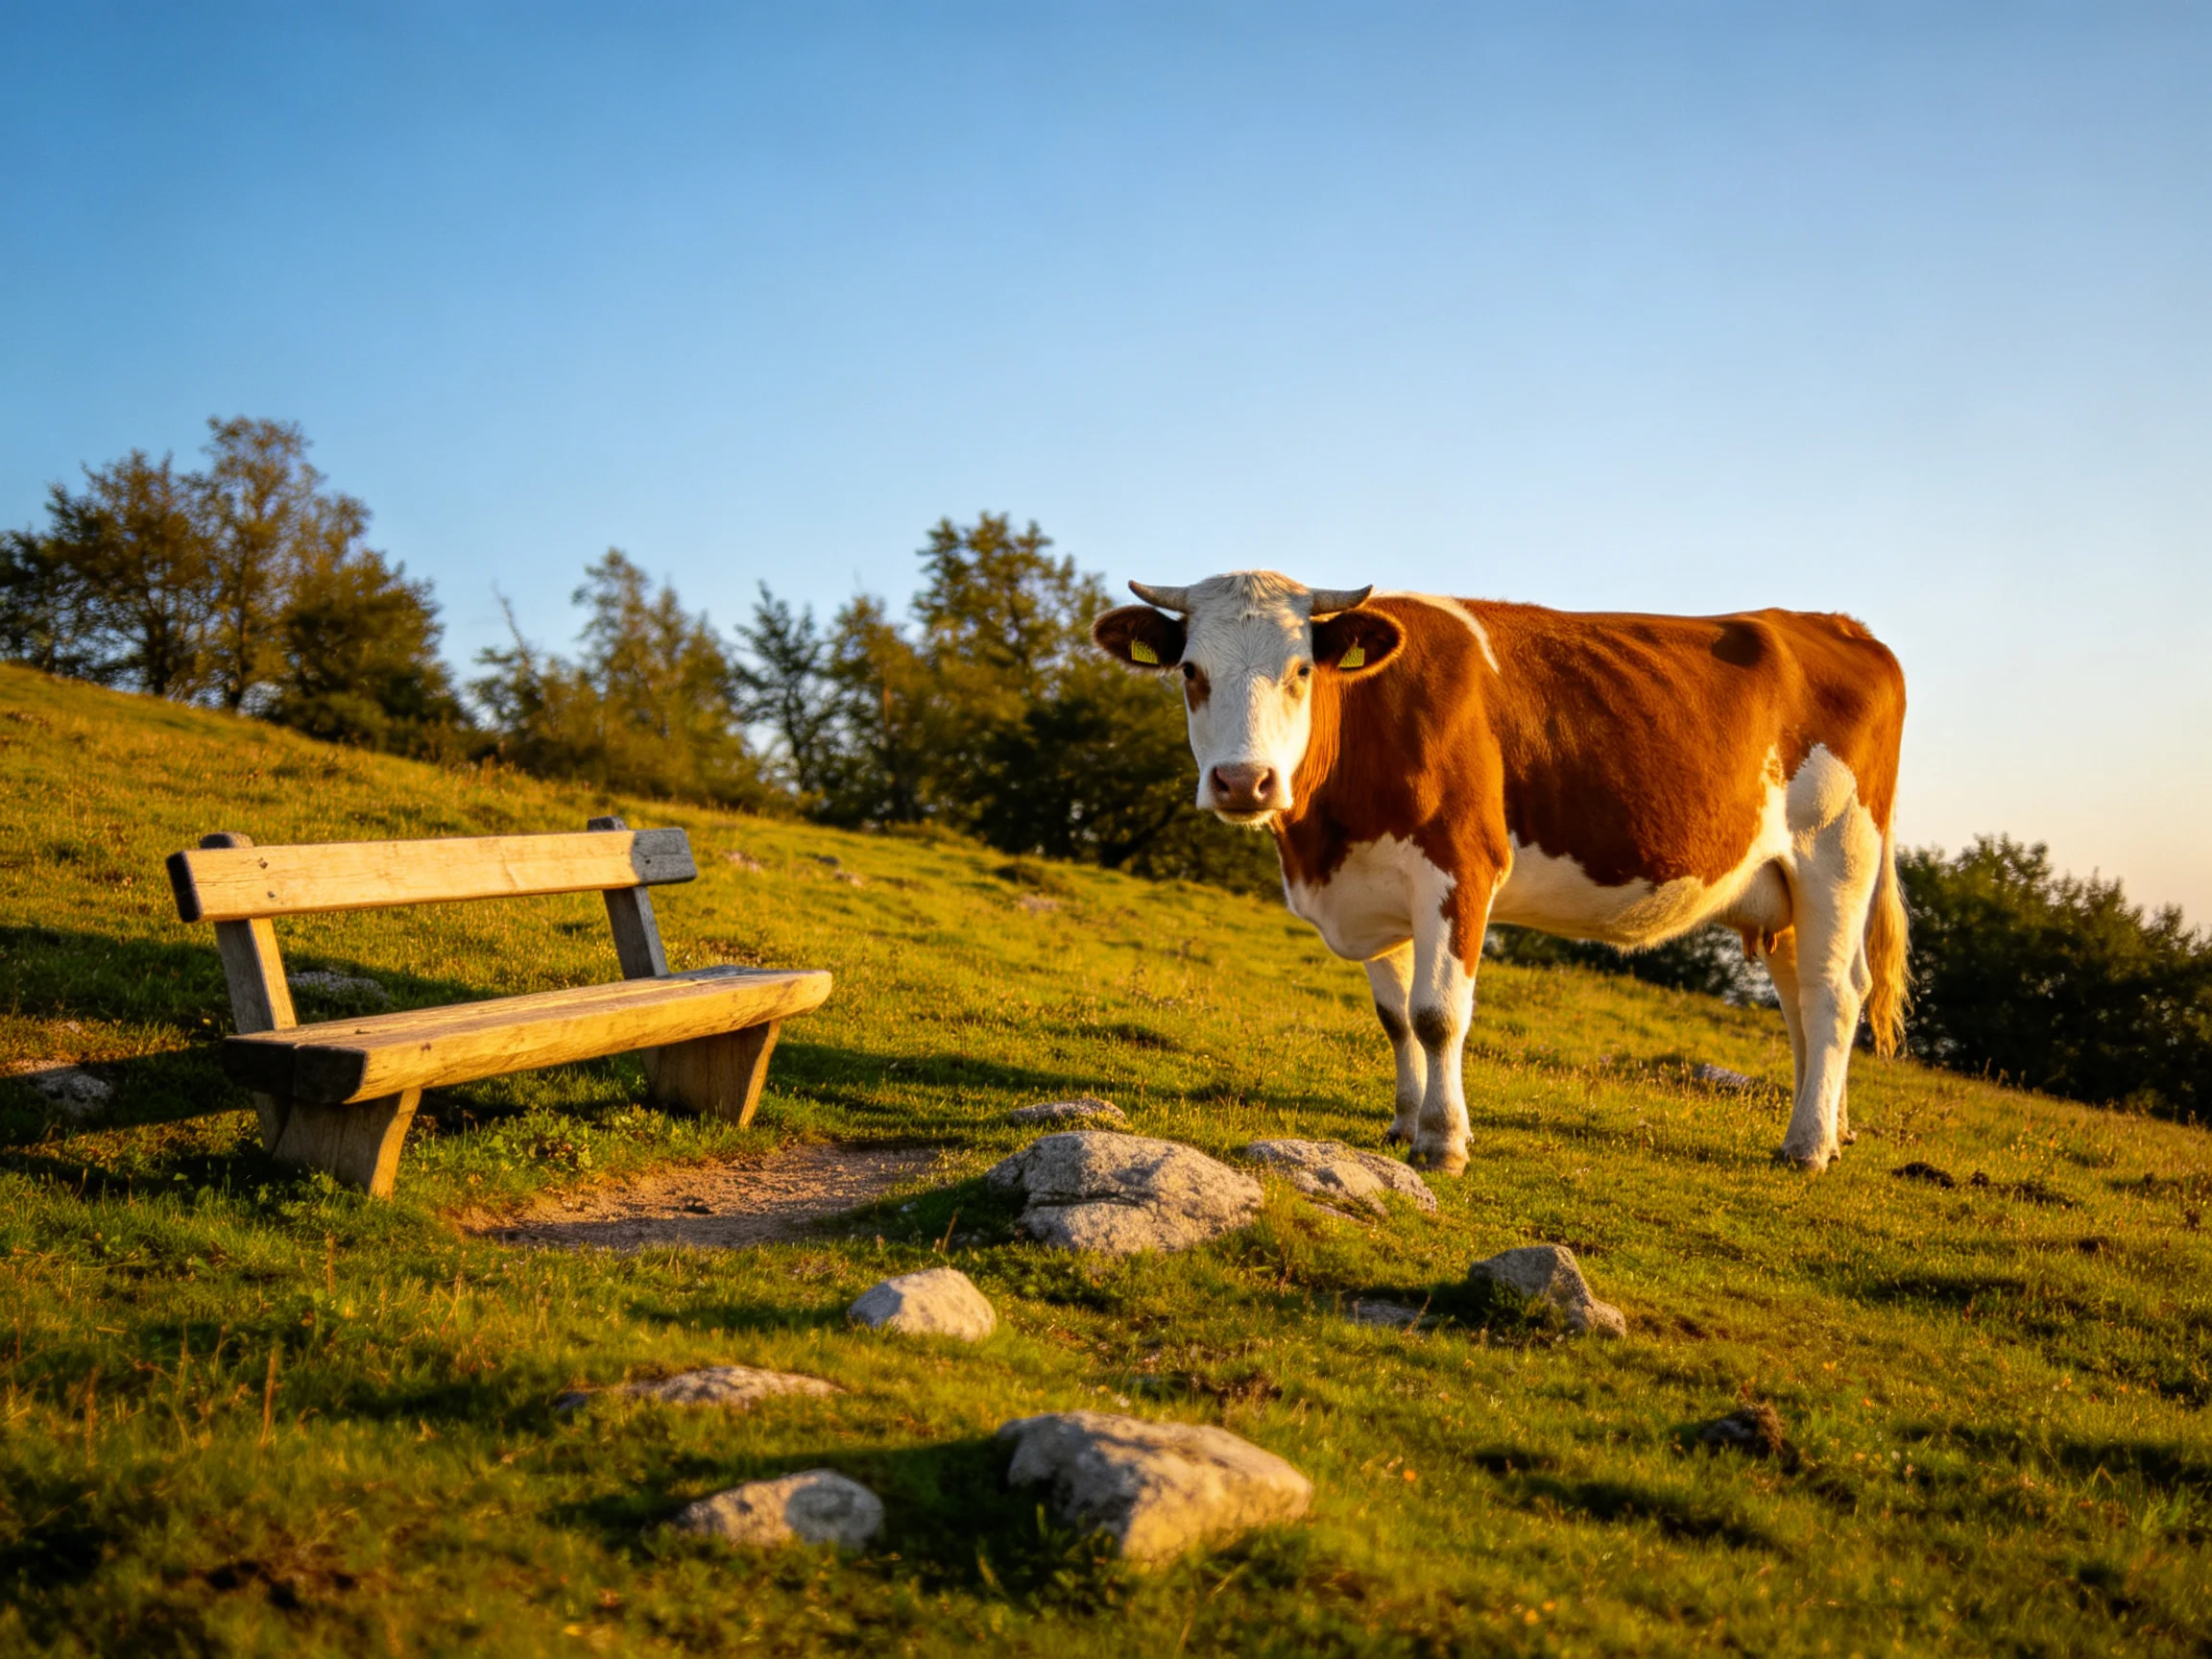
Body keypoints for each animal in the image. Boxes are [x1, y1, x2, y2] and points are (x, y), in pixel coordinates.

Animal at [1092, 572, 1907, 1175]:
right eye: (1191, 671)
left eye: (1300, 672)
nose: (1244, 781)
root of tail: (1837, 624)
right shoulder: (1376, 887)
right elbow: (1395, 1018)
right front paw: (1403, 1122)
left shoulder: (1460, 866)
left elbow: (1437, 1014)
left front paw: (1444, 1141)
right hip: (1783, 888)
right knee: (1807, 1001)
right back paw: (1830, 1130)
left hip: (1837, 854)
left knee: (1834, 996)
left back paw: (1805, 1148)